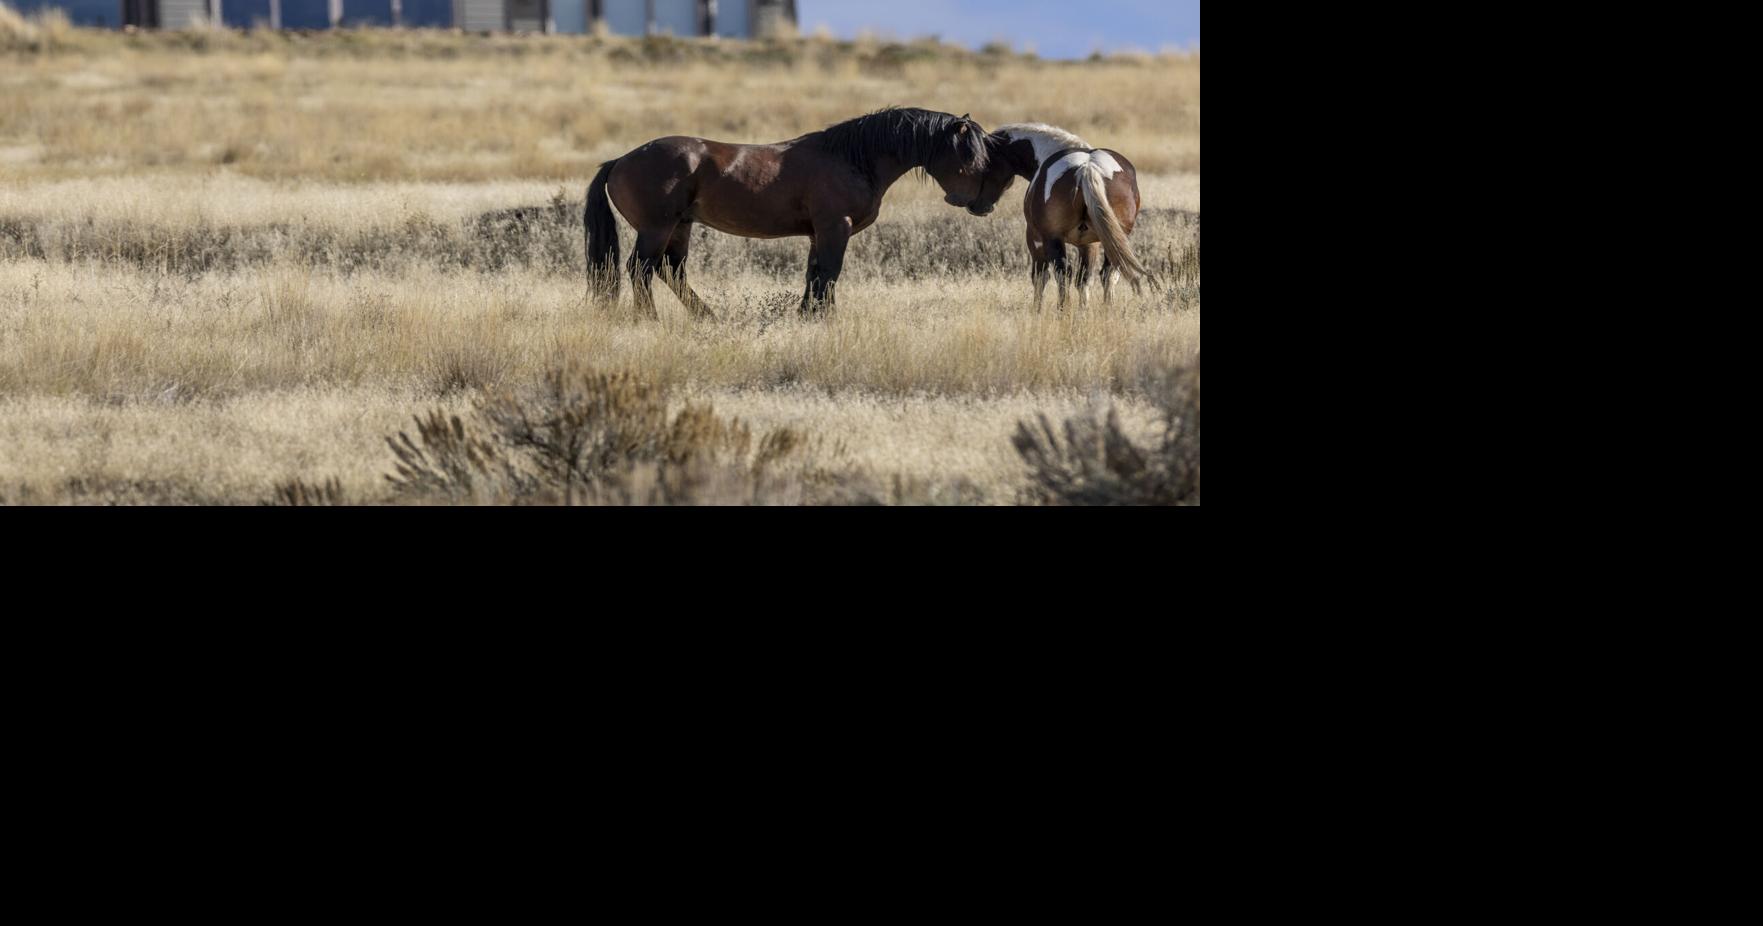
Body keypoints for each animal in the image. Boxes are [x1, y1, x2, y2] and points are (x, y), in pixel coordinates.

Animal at [584, 107, 994, 319]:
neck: (851, 158)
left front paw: (807, 316)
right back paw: (650, 319)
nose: (978, 204)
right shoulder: (834, 228)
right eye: (966, 152)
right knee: (641, 269)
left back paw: (708, 317)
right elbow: (829, 274)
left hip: (680, 227)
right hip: (657, 227)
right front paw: (823, 318)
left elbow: (814, 275)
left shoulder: (818, 232)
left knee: (671, 272)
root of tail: (619, 161)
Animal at [972, 123, 1154, 310]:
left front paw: (1037, 310)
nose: (977, 207)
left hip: (1053, 238)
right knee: (1108, 273)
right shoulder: (1090, 244)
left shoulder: (1035, 239)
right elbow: (1084, 280)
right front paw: (1083, 310)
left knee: (1062, 272)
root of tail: (1087, 168)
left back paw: (1063, 310)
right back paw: (1107, 309)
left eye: (983, 163)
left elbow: (1040, 277)